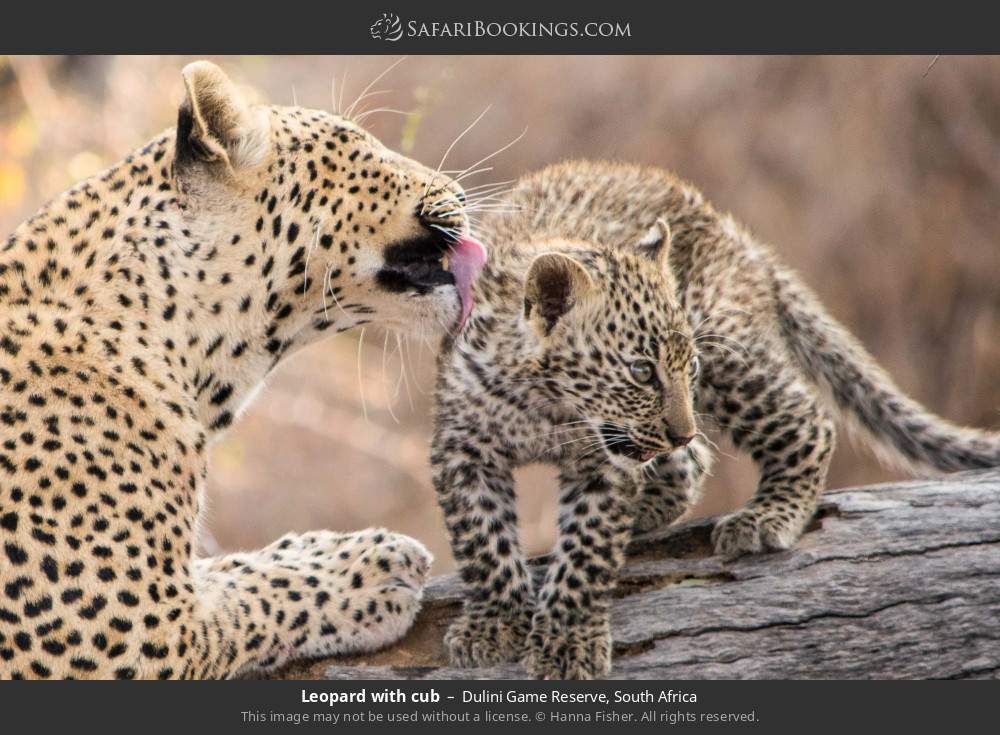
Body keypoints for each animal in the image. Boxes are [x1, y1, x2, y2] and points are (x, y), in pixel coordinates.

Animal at [0, 60, 489, 679]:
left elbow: (231, 570)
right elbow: (257, 597)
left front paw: (325, 548)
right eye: (361, 144)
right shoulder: (115, 632)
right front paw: (367, 572)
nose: (461, 193)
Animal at [431, 159, 1000, 680]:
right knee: (699, 458)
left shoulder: (603, 468)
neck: (546, 405)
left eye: (689, 366)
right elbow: (483, 541)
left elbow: (586, 552)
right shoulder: (463, 450)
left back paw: (764, 516)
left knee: (806, 420)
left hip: (730, 353)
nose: (678, 431)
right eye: (641, 371)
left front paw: (568, 641)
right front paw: (495, 624)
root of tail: (735, 234)